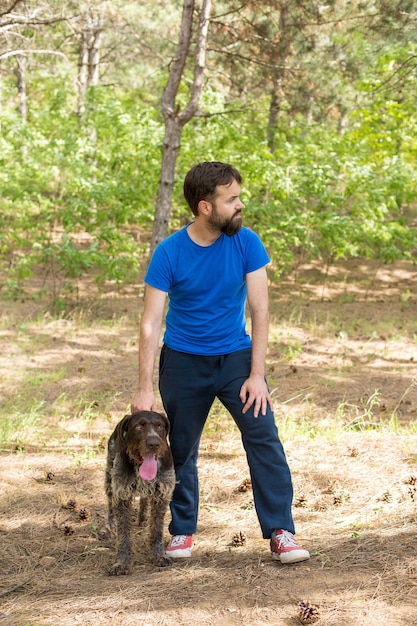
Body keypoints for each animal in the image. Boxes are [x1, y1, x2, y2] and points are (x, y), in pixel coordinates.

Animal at [105, 408, 176, 572]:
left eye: (159, 426)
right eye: (139, 426)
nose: (154, 444)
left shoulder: (162, 493)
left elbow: (156, 529)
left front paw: (159, 556)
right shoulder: (121, 494)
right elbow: (123, 534)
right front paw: (122, 562)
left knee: (144, 500)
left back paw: (143, 519)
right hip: (109, 479)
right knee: (110, 506)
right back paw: (109, 528)